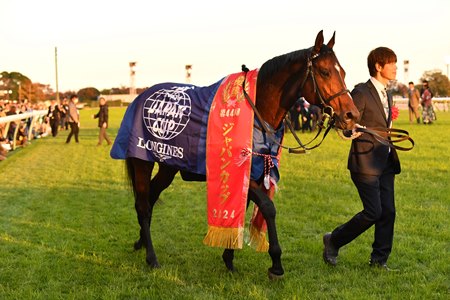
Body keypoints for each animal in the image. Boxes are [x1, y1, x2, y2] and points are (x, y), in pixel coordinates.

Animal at [112, 29, 358, 278]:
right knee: (143, 205)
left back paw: (141, 242)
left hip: (168, 165)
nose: (351, 115)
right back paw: (151, 257)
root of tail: (139, 98)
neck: (256, 114)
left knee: (151, 197)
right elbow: (268, 208)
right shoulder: (242, 170)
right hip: (142, 161)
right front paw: (276, 263)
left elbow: (244, 206)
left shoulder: (254, 172)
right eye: (325, 72)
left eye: (343, 72)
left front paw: (229, 257)